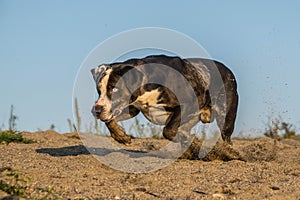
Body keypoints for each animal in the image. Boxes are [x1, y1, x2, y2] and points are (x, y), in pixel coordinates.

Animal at [90, 54, 238, 145]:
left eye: (115, 89)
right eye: (99, 90)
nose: (97, 109)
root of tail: (228, 71)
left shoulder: (187, 105)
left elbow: (168, 130)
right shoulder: (131, 108)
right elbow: (110, 120)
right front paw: (121, 136)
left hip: (226, 115)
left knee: (226, 136)